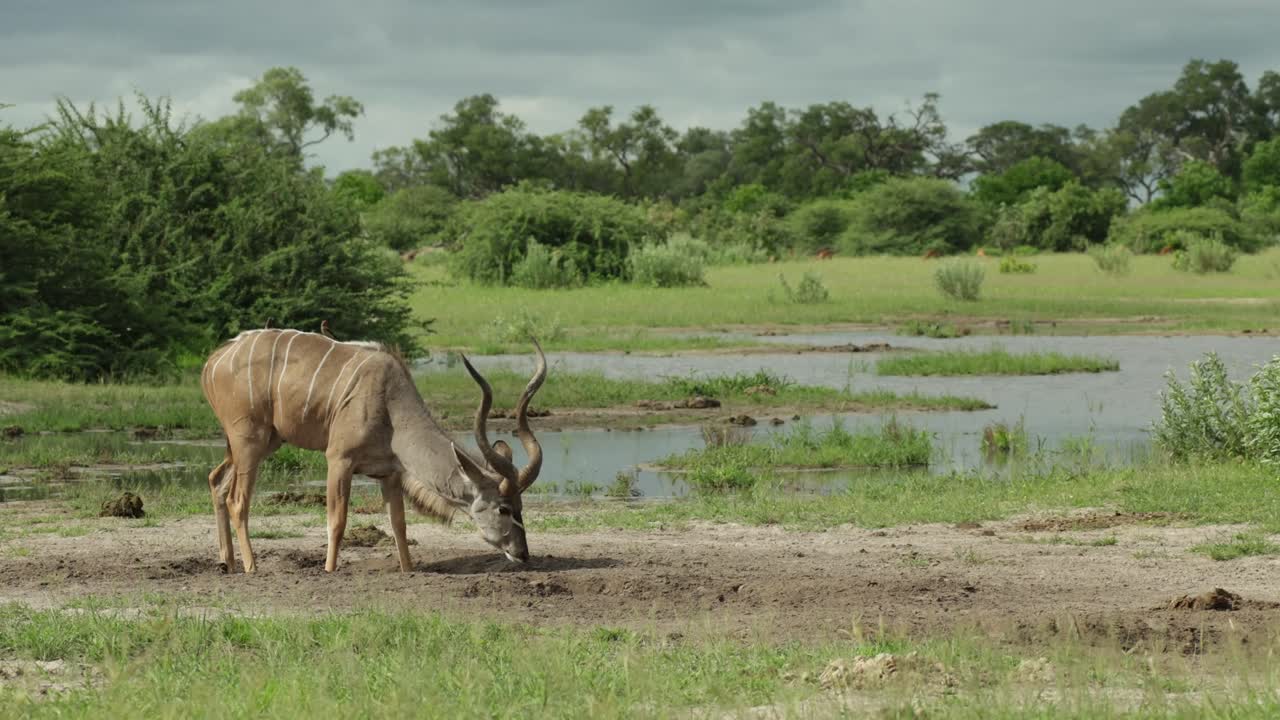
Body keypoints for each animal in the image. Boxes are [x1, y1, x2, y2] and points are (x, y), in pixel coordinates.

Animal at [199, 328, 546, 574]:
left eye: (521, 506)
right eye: (504, 508)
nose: (523, 553)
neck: (391, 404)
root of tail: (213, 361)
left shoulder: (390, 474)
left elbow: (399, 525)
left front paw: (408, 569)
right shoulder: (339, 460)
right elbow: (337, 520)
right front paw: (329, 570)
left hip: (263, 442)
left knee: (217, 481)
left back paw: (227, 563)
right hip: (249, 441)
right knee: (237, 500)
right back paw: (251, 567)